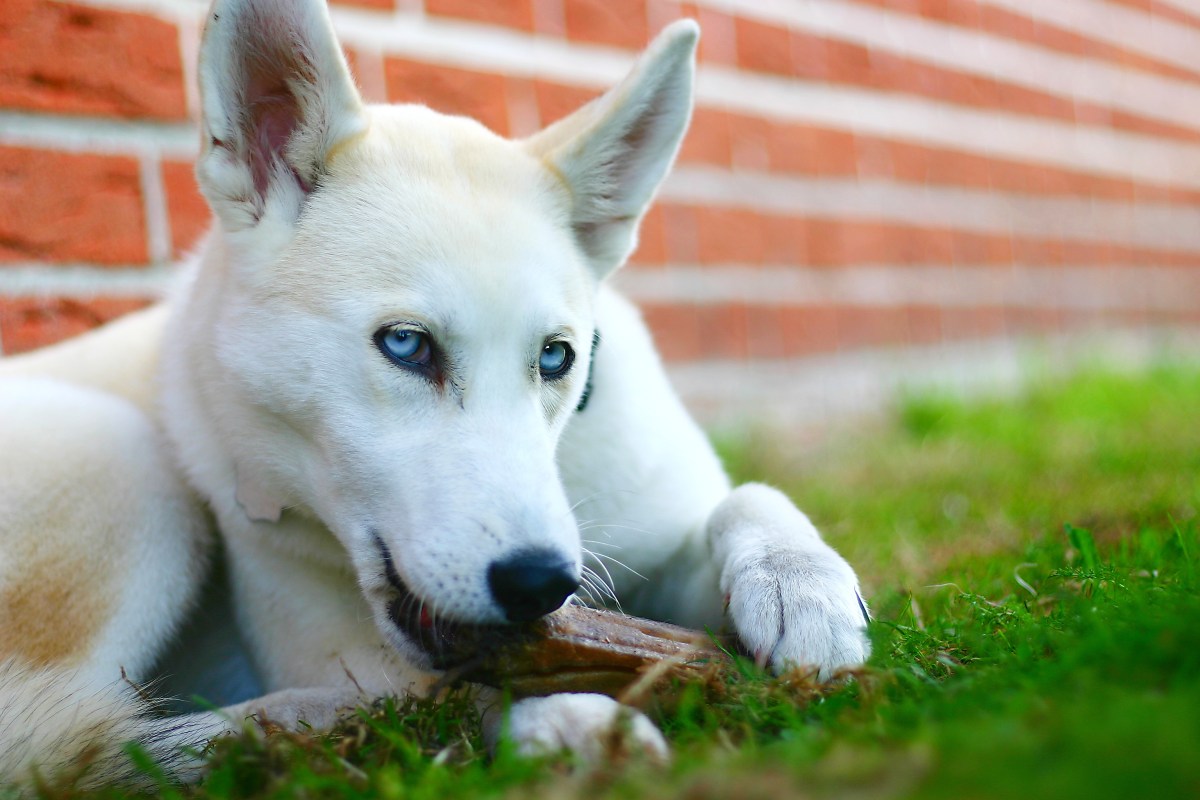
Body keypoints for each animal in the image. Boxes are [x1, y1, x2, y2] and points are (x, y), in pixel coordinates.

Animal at [0, 0, 868, 786]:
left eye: (556, 357)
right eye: (406, 345)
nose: (539, 583)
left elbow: (745, 498)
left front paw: (801, 582)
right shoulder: (340, 640)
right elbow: (459, 682)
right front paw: (565, 715)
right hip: (124, 455)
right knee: (63, 745)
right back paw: (294, 729)